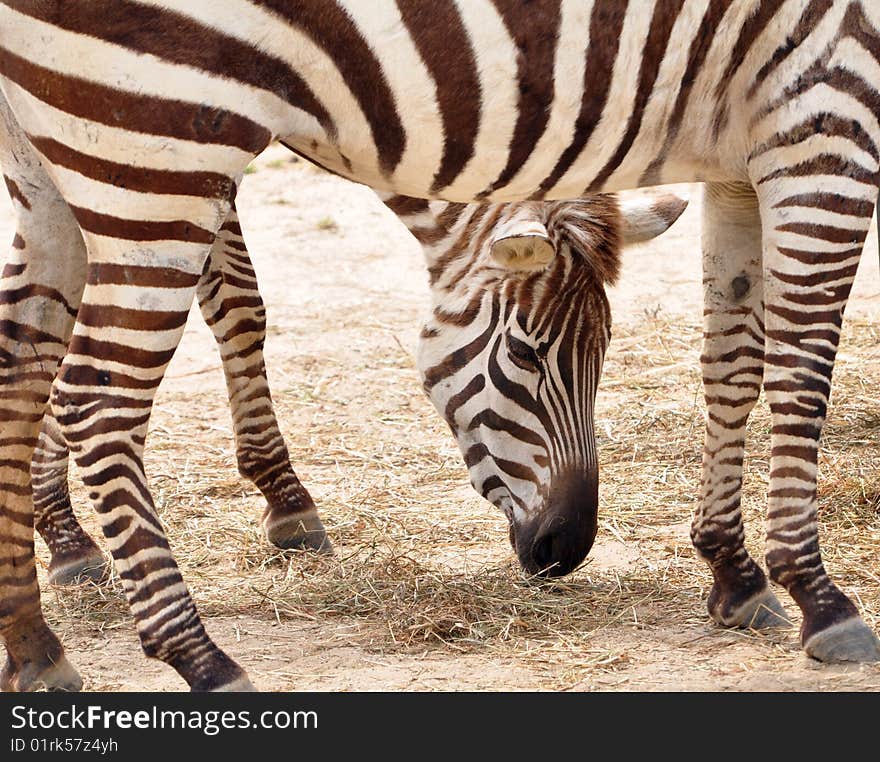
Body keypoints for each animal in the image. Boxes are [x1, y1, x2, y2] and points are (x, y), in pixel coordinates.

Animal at [0, 1, 876, 688]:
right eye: (526, 354)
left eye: (604, 352)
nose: (566, 550)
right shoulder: (828, 111)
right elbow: (802, 372)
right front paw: (818, 595)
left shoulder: (738, 154)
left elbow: (732, 365)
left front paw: (733, 570)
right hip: (156, 130)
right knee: (98, 397)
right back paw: (200, 657)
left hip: (74, 150)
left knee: (27, 359)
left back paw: (36, 642)